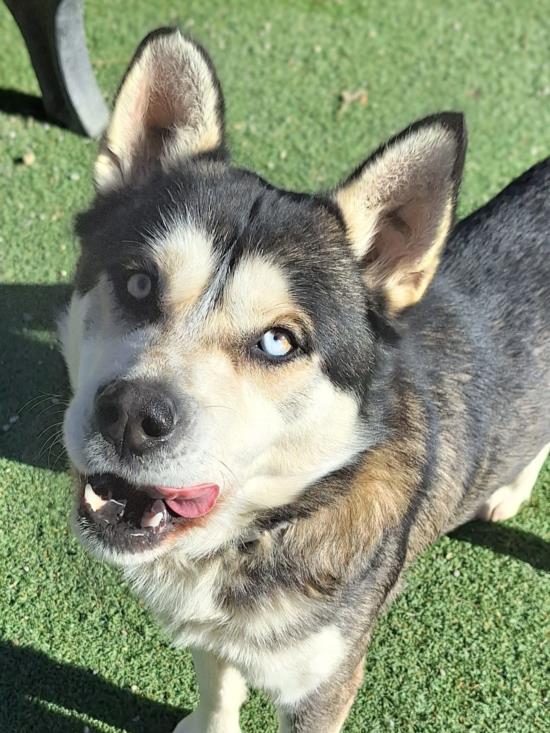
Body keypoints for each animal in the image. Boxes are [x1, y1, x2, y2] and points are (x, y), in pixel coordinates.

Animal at [58, 27, 548, 732]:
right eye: (140, 283)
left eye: (277, 342)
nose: (130, 416)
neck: (264, 531)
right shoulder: (215, 635)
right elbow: (218, 683)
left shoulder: (326, 682)